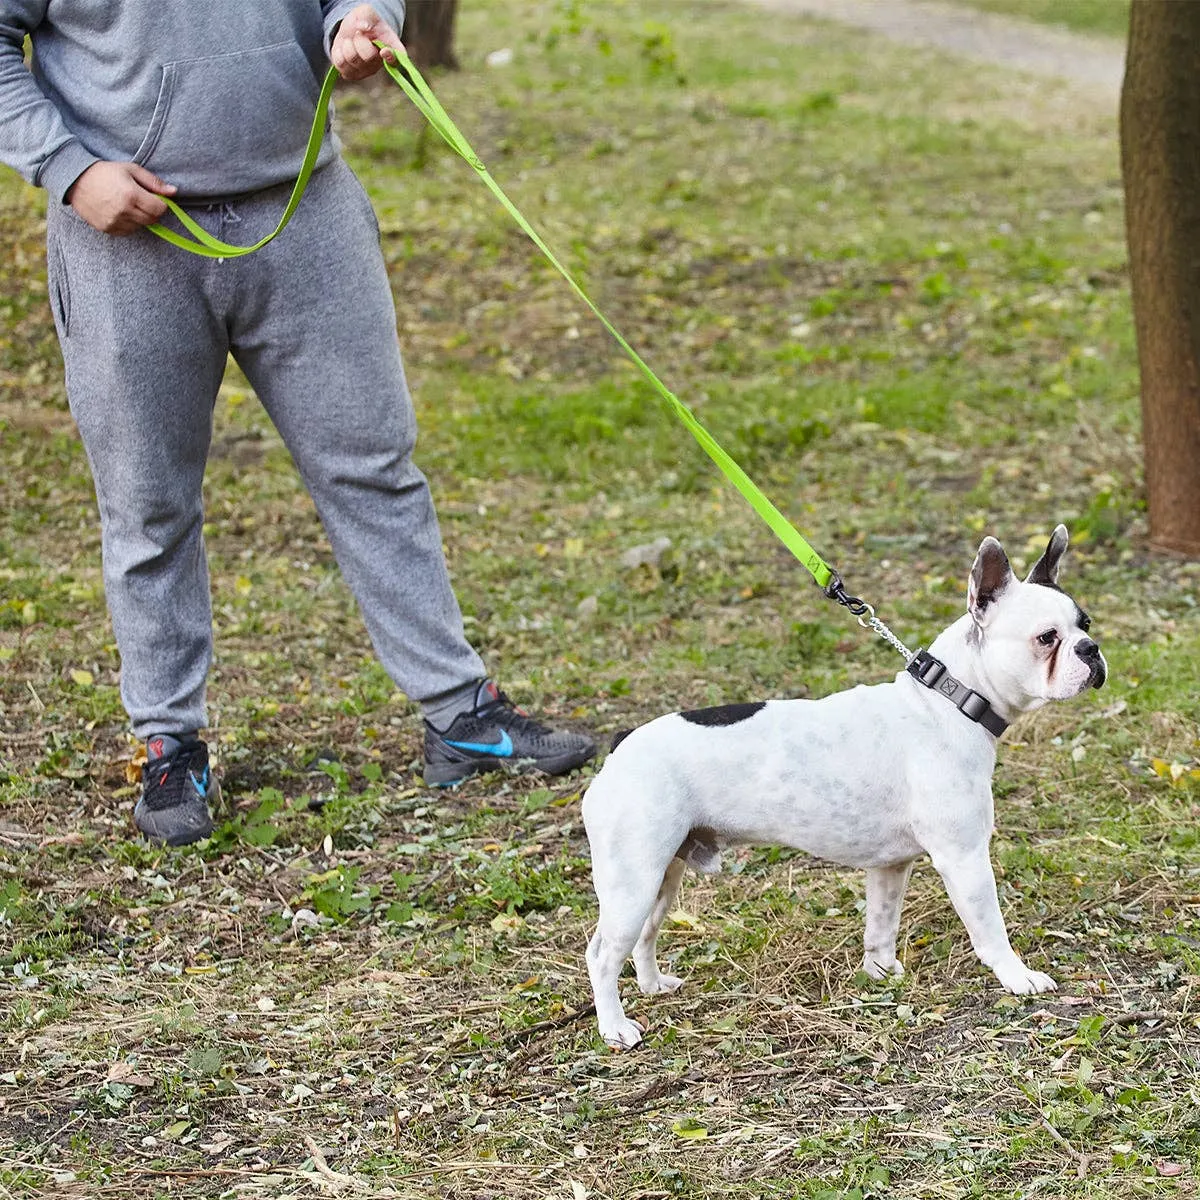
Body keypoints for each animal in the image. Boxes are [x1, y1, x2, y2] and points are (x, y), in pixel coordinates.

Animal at [580, 530, 1104, 1046]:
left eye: (1086, 623)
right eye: (1046, 638)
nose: (1091, 649)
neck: (951, 701)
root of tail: (618, 751)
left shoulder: (891, 868)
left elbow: (881, 924)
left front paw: (881, 974)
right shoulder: (966, 859)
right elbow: (990, 929)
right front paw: (1018, 977)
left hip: (660, 878)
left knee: (643, 937)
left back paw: (652, 986)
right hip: (633, 881)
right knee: (602, 954)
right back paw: (615, 1027)